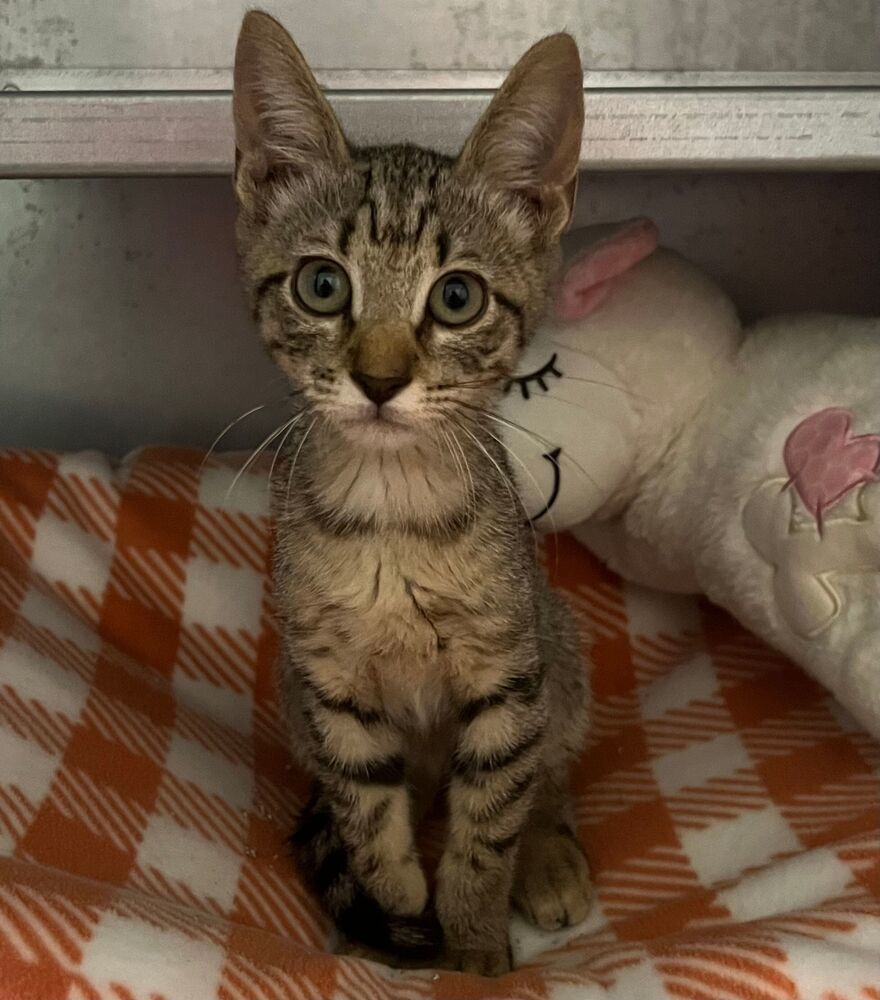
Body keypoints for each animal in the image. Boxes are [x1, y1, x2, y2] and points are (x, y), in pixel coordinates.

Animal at [234, 9, 592, 976]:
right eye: (323, 284)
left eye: (457, 297)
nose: (381, 380)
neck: (393, 515)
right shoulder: (330, 686)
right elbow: (366, 812)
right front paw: (394, 906)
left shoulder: (508, 681)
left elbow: (488, 827)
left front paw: (474, 949)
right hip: (291, 696)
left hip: (559, 644)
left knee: (547, 773)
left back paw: (550, 858)